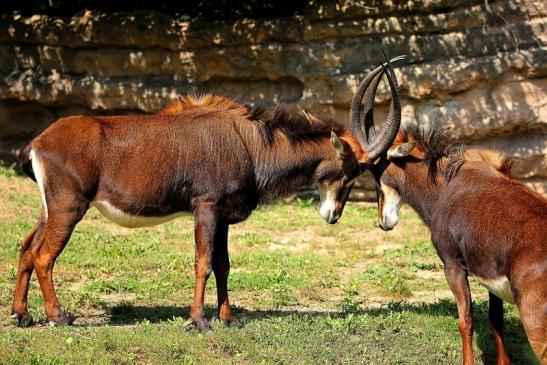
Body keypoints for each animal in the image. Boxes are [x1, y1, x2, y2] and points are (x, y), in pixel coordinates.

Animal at [10, 57, 406, 330]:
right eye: (352, 171)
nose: (333, 215)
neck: (250, 144)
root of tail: (38, 142)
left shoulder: (225, 217)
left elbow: (223, 264)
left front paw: (228, 318)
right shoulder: (206, 207)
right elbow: (203, 262)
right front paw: (198, 320)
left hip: (49, 209)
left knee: (27, 248)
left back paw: (21, 315)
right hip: (69, 208)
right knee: (44, 257)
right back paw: (58, 317)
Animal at [348, 62, 544, 362]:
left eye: (377, 170)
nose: (383, 221)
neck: (446, 185)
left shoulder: (452, 265)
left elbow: (466, 321)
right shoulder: (491, 279)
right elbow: (495, 322)